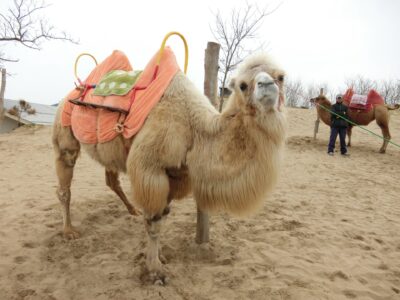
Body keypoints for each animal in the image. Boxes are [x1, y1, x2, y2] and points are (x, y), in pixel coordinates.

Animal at [52, 53, 288, 284]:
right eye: (242, 85)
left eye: (281, 77)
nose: (267, 85)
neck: (194, 128)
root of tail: (73, 90)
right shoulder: (150, 171)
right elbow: (153, 224)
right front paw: (154, 272)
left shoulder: (176, 175)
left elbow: (162, 218)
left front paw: (160, 257)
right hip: (65, 133)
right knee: (65, 184)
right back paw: (69, 231)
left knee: (111, 179)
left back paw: (132, 210)